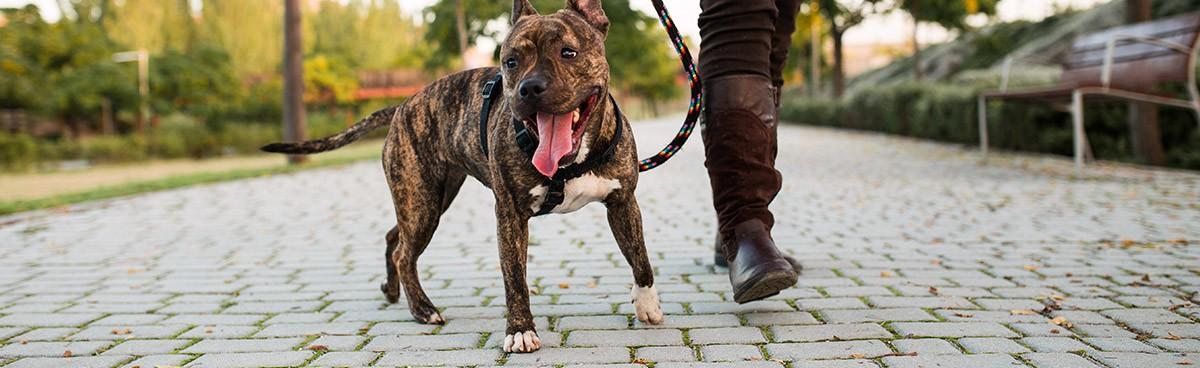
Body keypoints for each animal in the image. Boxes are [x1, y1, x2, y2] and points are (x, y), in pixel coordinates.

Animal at [260, 0, 667, 354]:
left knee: (395, 237)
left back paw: (392, 291)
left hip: (428, 199)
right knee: (405, 252)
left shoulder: (623, 202)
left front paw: (646, 303)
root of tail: (403, 105)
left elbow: (640, 257)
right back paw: (423, 309)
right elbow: (515, 279)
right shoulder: (510, 215)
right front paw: (520, 331)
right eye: (511, 61)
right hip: (422, 203)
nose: (529, 88)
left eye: (568, 52)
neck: (571, 161)